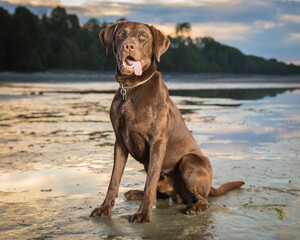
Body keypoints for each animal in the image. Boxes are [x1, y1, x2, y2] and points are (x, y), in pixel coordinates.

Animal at [89, 21, 244, 223]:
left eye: (143, 36)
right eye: (121, 34)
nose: (128, 46)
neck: (132, 87)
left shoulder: (157, 141)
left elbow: (150, 182)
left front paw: (143, 214)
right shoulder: (120, 142)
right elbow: (114, 180)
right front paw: (105, 208)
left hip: (189, 162)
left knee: (202, 199)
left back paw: (195, 207)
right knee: (161, 194)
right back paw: (135, 193)